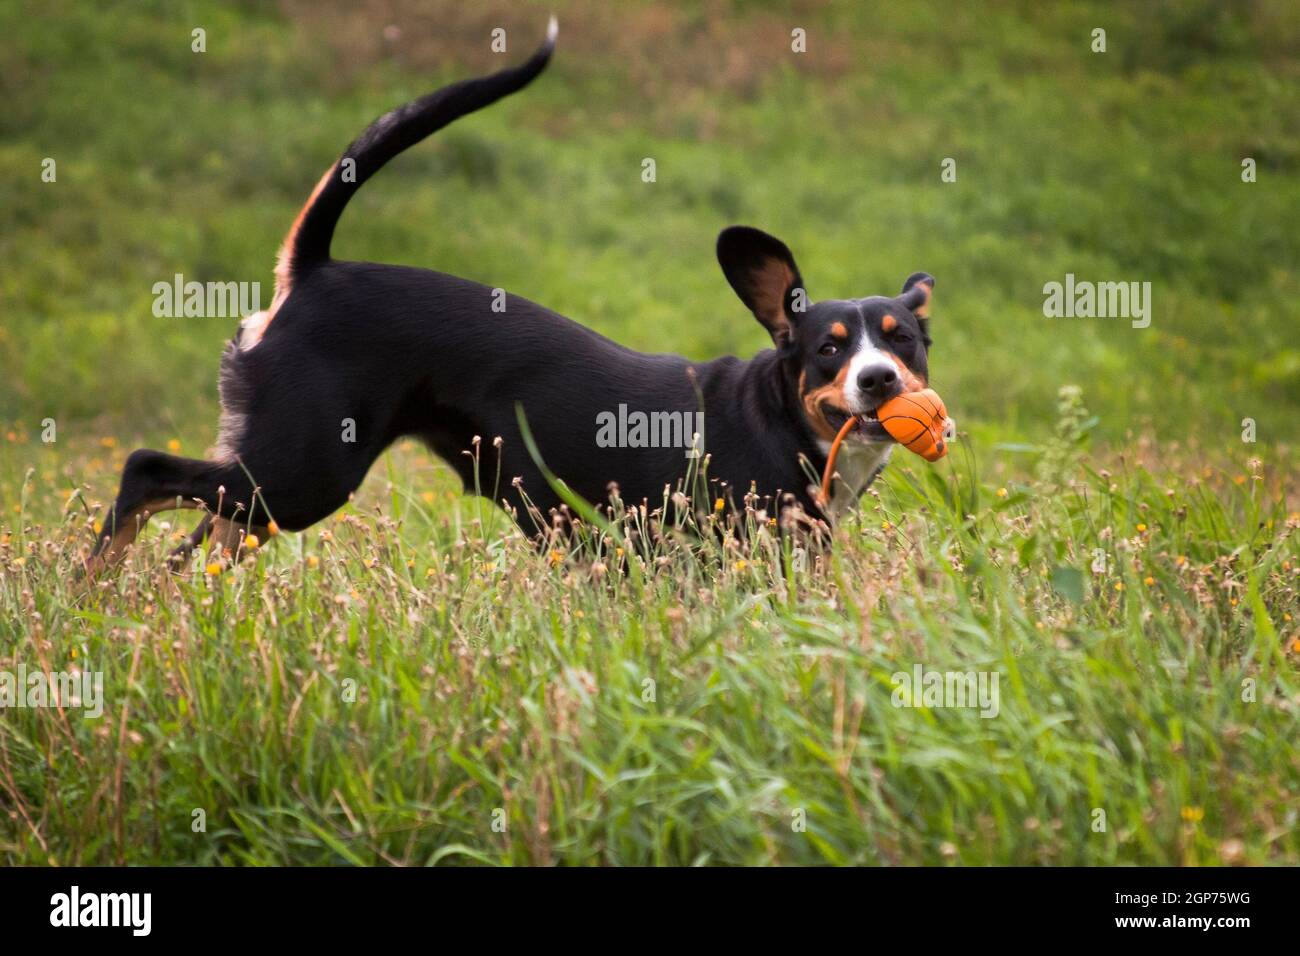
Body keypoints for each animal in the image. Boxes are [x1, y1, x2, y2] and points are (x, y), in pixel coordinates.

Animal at [89, 18, 935, 572]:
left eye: (904, 341)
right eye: (828, 349)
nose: (879, 381)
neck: (780, 417)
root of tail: (312, 270)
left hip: (270, 484)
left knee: (193, 545)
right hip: (305, 469)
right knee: (144, 471)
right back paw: (95, 591)